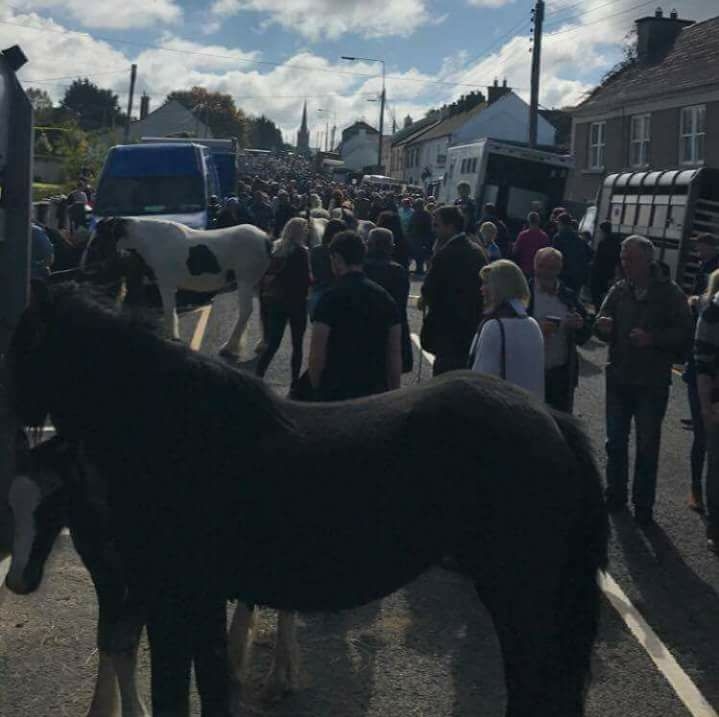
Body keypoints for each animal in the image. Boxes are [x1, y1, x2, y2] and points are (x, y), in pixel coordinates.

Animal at [8, 282, 612, 712]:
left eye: (16, 342)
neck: (177, 428)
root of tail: (553, 422)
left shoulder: (172, 598)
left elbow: (173, 694)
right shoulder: (195, 598)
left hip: (520, 594)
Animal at [86, 215, 272, 356]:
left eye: (98, 237)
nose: (88, 265)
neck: (152, 241)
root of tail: (265, 239)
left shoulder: (166, 286)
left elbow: (169, 312)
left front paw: (172, 338)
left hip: (245, 282)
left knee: (246, 311)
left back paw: (228, 348)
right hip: (256, 284)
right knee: (263, 308)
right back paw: (261, 344)